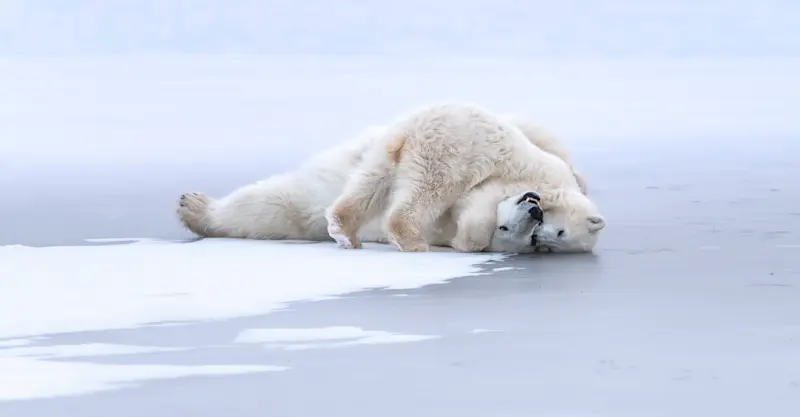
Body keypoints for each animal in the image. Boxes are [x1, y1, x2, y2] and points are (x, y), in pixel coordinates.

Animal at [324, 102, 606, 253]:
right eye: (560, 232)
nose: (536, 215)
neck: (563, 189)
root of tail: (414, 130)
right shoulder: (518, 181)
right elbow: (481, 203)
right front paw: (468, 241)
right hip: (448, 155)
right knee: (430, 191)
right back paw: (414, 241)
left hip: (388, 146)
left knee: (370, 183)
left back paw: (345, 232)